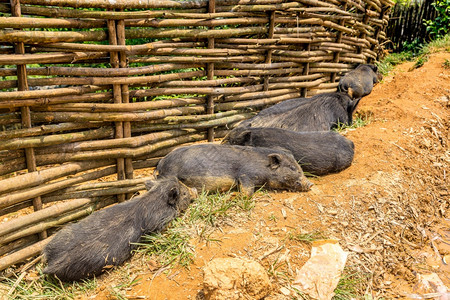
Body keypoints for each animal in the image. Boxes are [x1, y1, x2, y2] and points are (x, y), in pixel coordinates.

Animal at [156, 144, 312, 197]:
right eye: (292, 168)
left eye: (299, 167)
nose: (311, 184)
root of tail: (161, 163)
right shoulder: (246, 174)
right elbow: (247, 191)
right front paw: (234, 195)